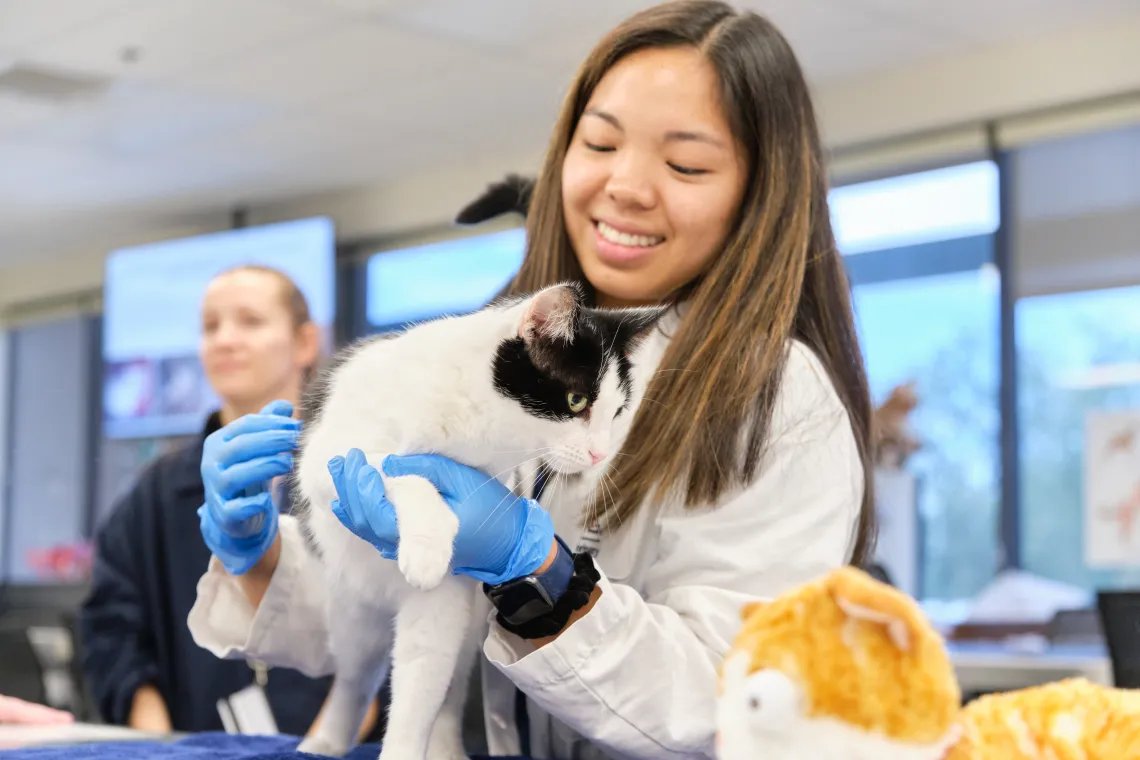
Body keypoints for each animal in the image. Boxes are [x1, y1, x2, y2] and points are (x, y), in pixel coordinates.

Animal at [294, 283, 665, 760]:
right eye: (576, 401)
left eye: (618, 413)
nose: (600, 454)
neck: (476, 429)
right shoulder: (330, 462)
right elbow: (401, 469)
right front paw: (428, 543)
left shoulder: (447, 594)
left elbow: (422, 686)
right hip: (351, 612)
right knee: (355, 677)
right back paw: (327, 739)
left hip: (461, 626)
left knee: (442, 686)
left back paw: (445, 748)